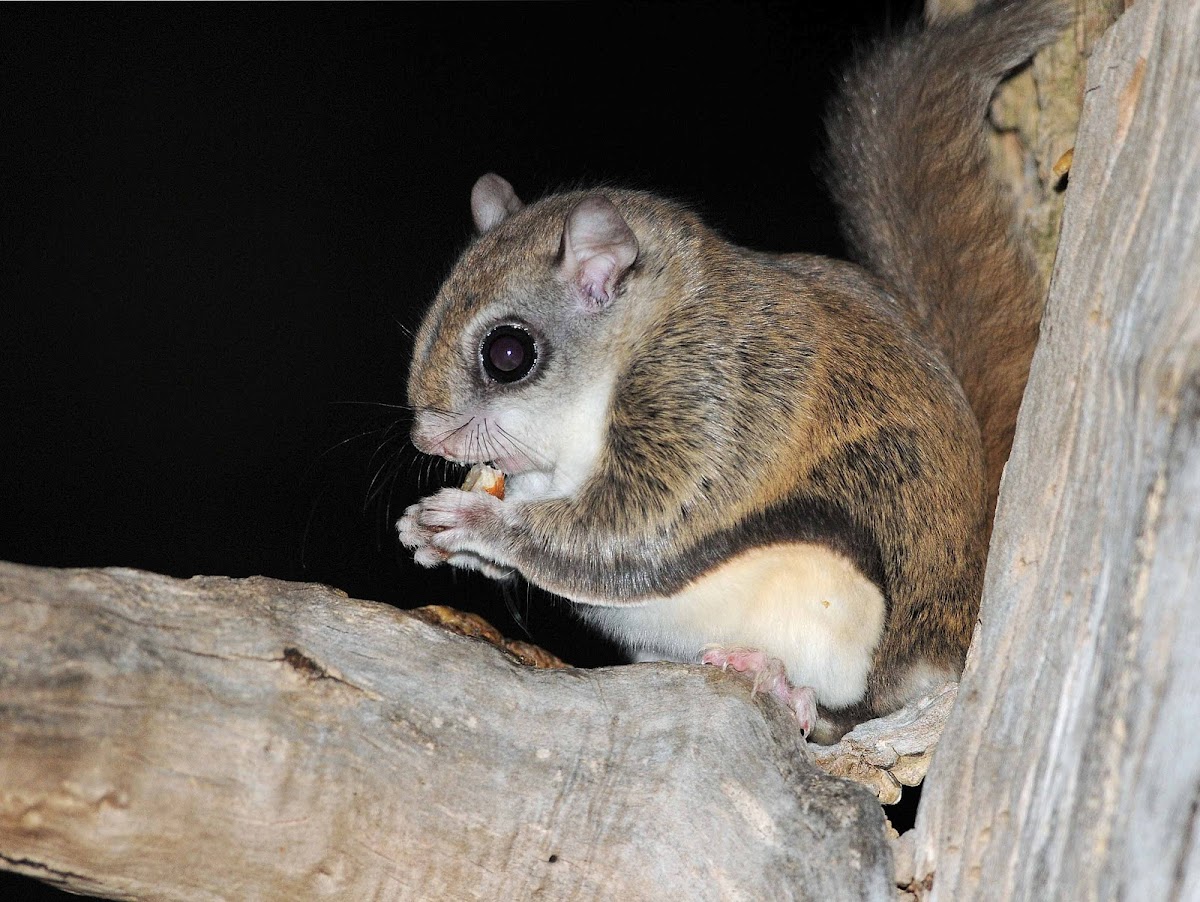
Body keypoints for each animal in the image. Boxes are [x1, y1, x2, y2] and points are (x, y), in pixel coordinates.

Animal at [400, 0, 1070, 738]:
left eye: (508, 355)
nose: (427, 439)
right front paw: (430, 535)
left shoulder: (713, 398)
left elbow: (627, 532)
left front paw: (475, 525)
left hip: (836, 606)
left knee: (841, 709)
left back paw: (780, 682)